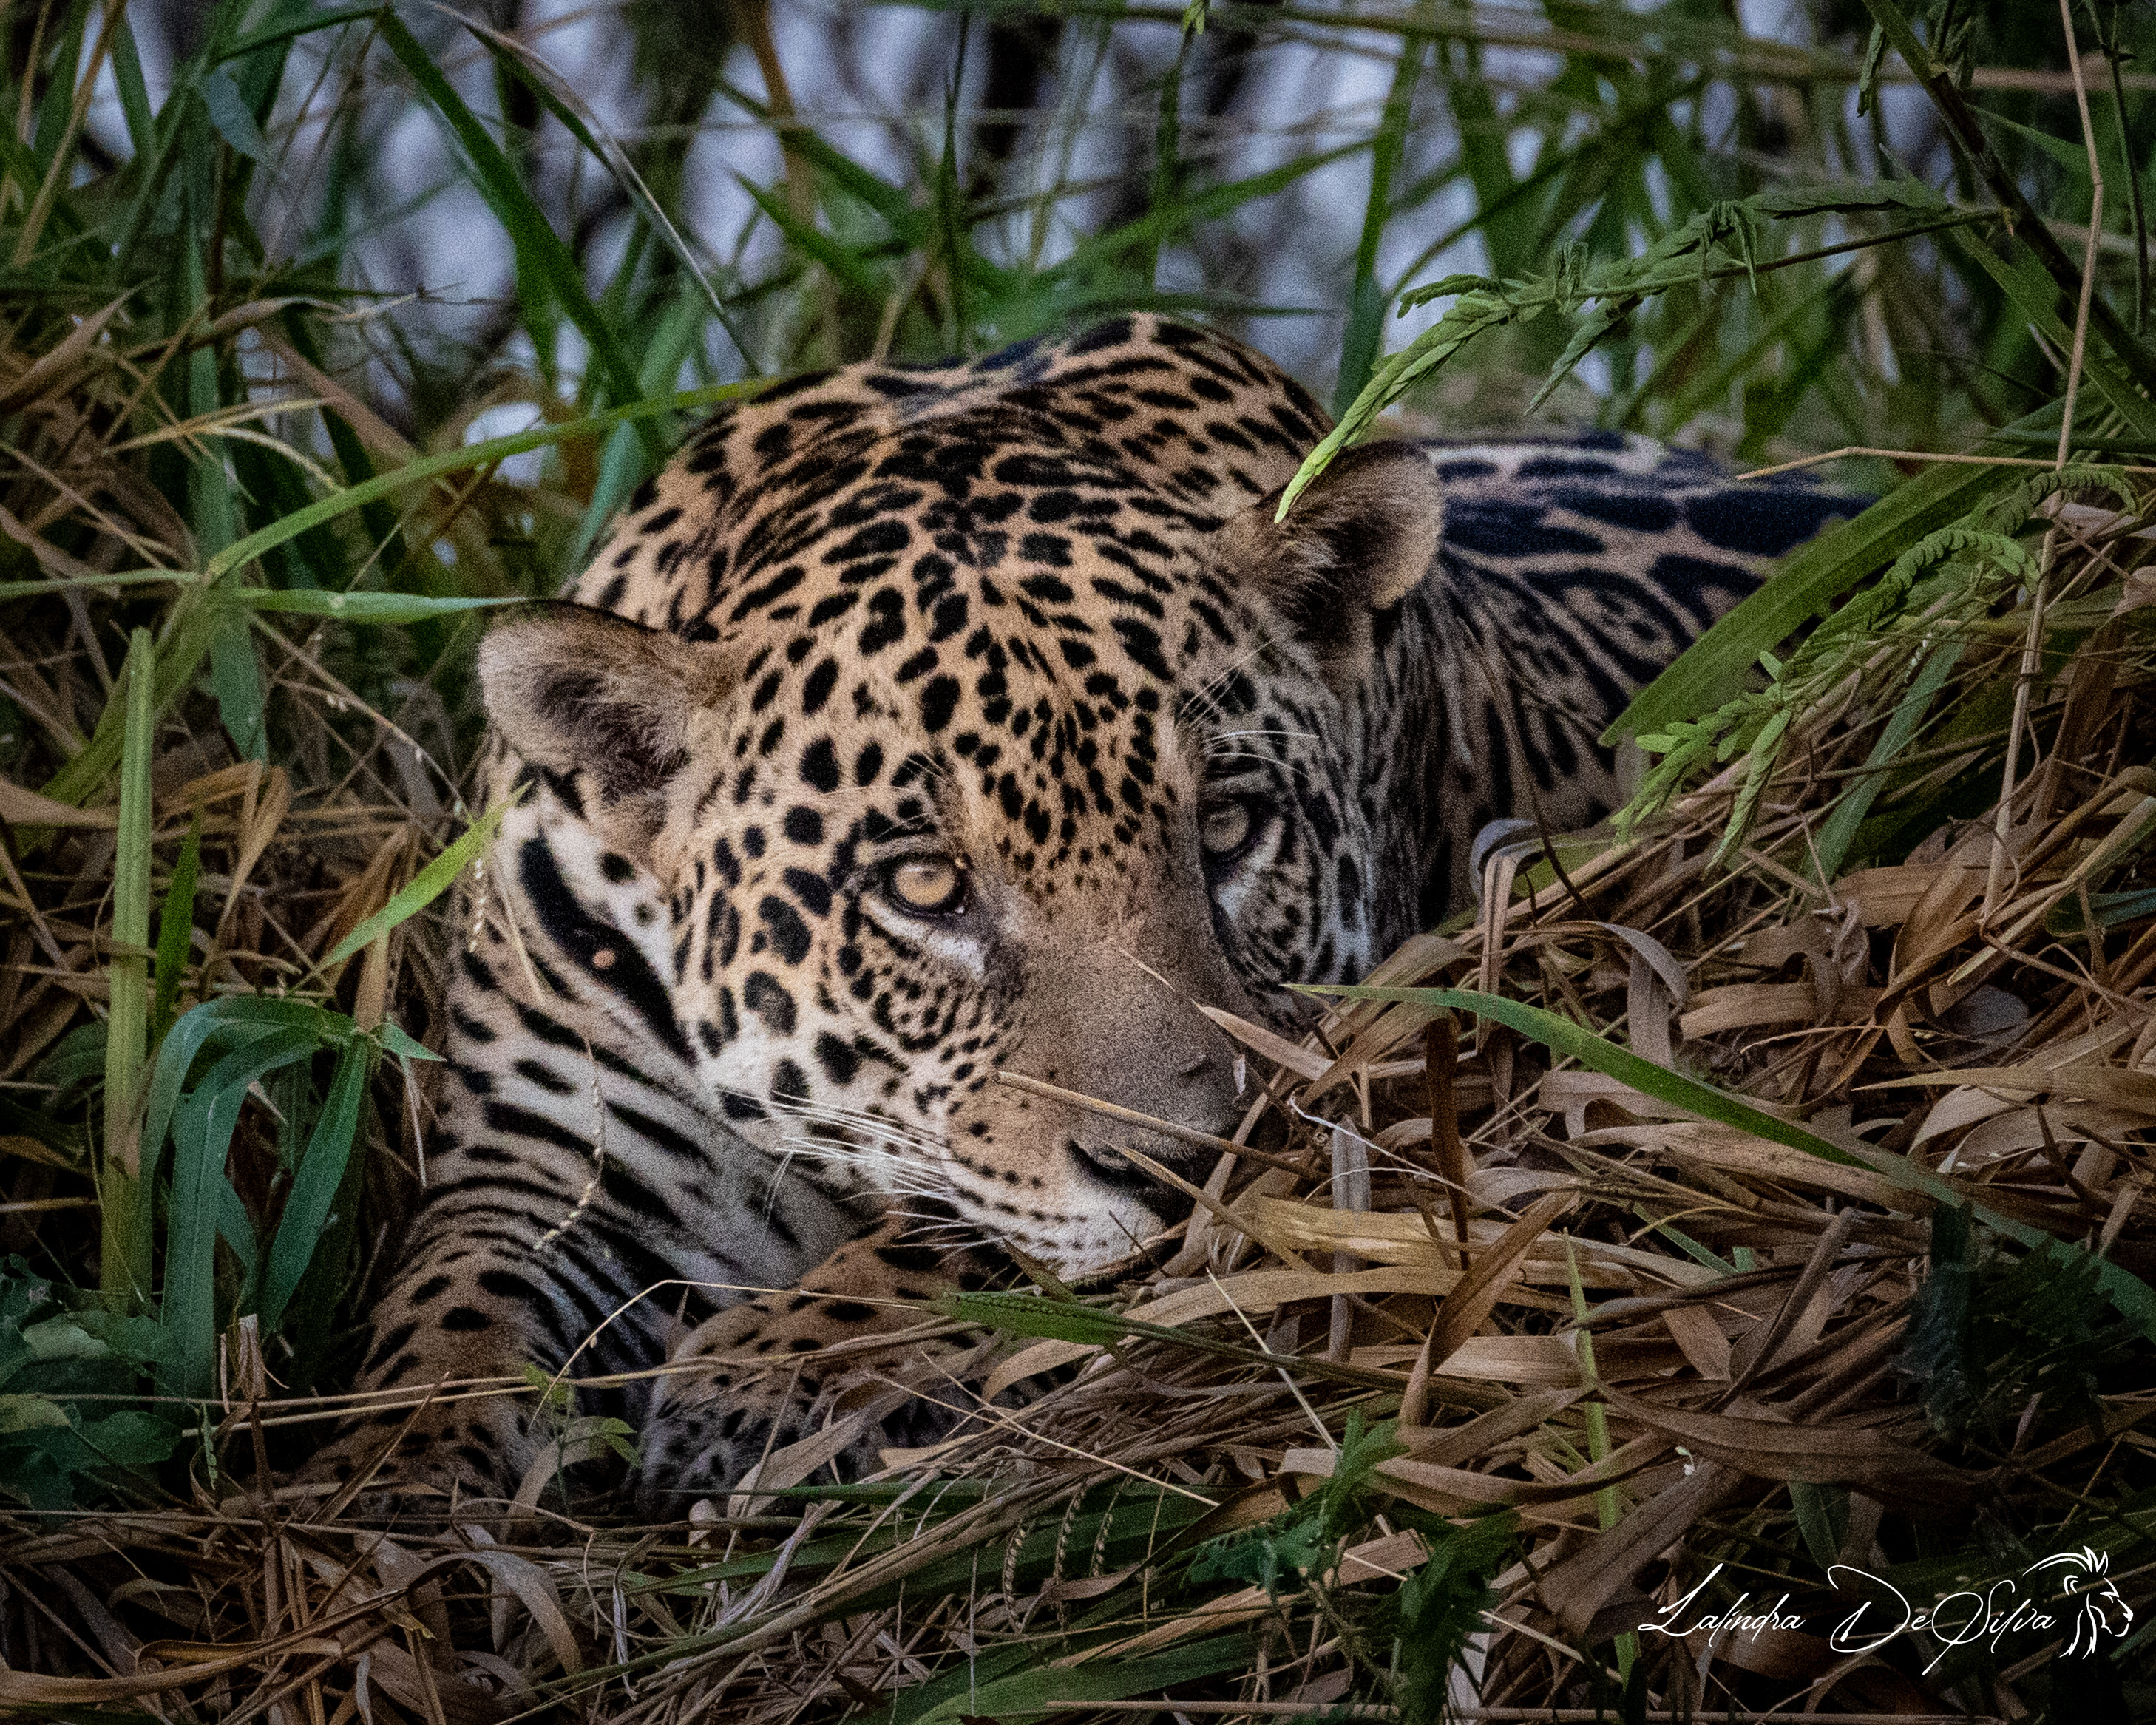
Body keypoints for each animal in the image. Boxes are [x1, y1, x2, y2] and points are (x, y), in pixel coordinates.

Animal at [314, 314, 1857, 1516]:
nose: (1191, 1171)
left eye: (1227, 828)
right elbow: (447, 1319)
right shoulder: (545, 1157)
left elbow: (957, 1220)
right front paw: (399, 1495)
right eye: (922, 885)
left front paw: (763, 1378)